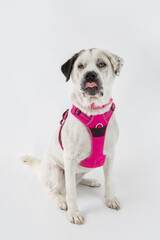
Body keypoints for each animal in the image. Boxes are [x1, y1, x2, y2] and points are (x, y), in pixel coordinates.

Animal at [21, 47, 124, 224]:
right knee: (54, 190)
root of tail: (42, 170)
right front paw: (74, 212)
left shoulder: (110, 154)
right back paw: (61, 201)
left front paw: (110, 199)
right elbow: (71, 193)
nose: (90, 75)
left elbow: (109, 181)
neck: (93, 111)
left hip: (79, 170)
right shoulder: (70, 159)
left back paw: (90, 181)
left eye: (101, 64)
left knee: (77, 181)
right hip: (56, 171)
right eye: (80, 66)